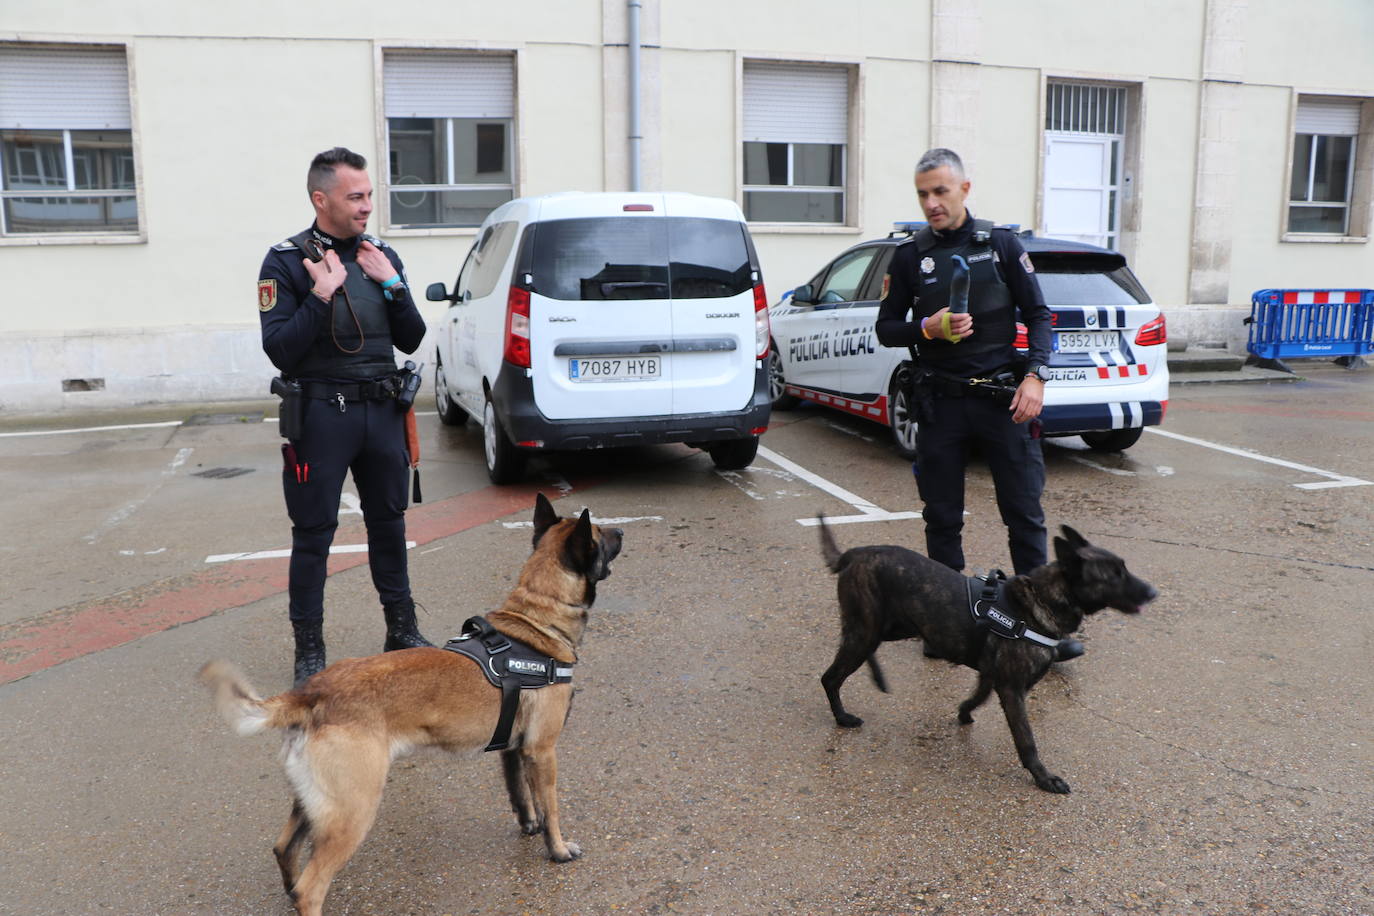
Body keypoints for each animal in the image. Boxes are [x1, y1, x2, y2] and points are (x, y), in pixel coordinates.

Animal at [199, 494, 623, 916]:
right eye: (600, 535)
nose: (621, 530)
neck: (536, 622)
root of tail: (312, 691)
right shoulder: (542, 750)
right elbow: (550, 806)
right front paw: (558, 849)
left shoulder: (514, 750)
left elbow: (523, 797)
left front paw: (529, 827)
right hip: (354, 810)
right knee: (310, 887)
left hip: (316, 803)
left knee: (284, 850)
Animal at [818, 519, 1154, 791]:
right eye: (1114, 575)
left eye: (1124, 568)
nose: (1153, 592)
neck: (1041, 600)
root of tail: (855, 553)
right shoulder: (1012, 689)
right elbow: (1026, 740)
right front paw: (1043, 778)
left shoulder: (991, 675)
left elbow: (977, 698)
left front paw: (963, 712)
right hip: (866, 632)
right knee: (830, 677)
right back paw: (842, 716)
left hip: (886, 628)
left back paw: (875, 677)